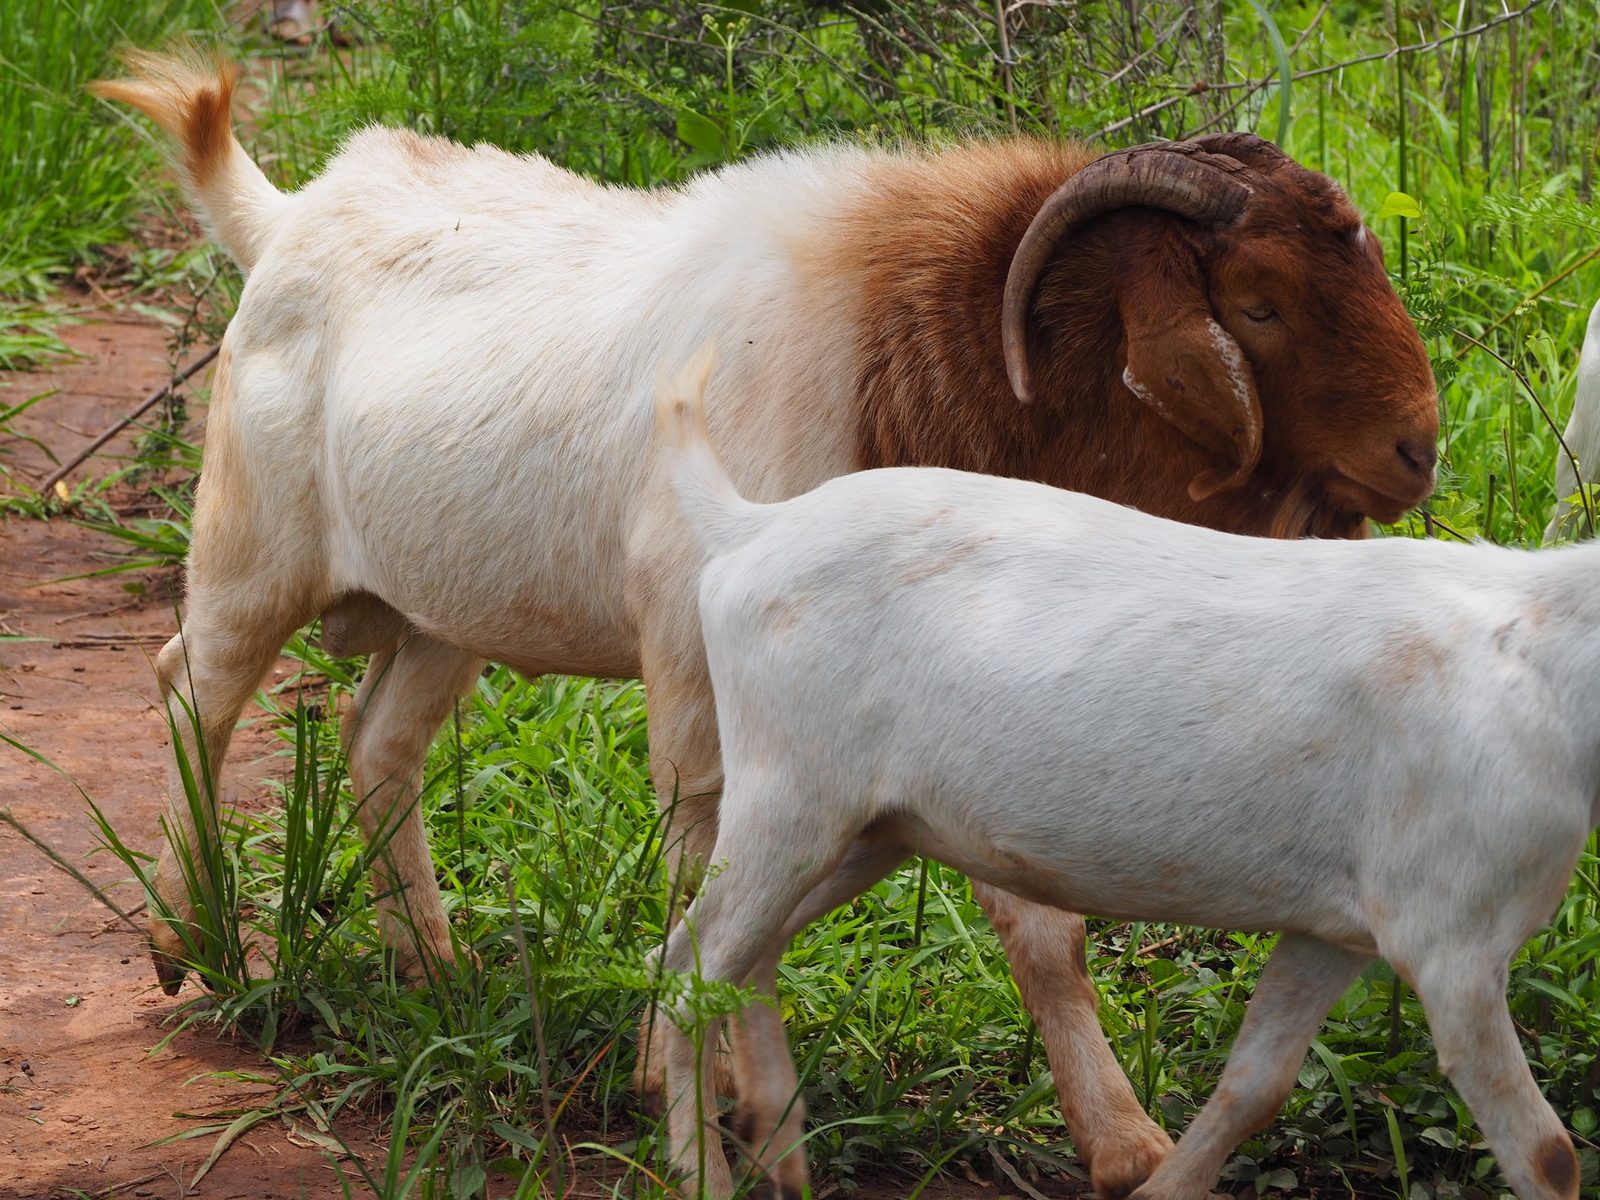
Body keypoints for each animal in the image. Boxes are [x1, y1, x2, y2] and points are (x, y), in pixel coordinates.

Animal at [95, 49, 1438, 1198]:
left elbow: (1037, 925)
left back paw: (434, 968)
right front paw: (695, 1087)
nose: (1419, 450)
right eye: (1256, 303)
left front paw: (1121, 1144)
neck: (894, 348)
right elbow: (705, 864)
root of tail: (291, 215)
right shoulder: (704, 666)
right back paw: (185, 938)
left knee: (379, 746)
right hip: (252, 551)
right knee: (193, 690)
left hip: (442, 610)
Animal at [655, 346, 1584, 1200]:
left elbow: (1256, 1085)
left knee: (738, 952)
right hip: (787, 792)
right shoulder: (1454, 934)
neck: (1543, 658)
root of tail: (749, 529)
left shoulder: (1341, 925)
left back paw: (777, 1153)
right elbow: (1548, 1152)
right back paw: (704, 1175)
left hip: (873, 826)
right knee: (691, 969)